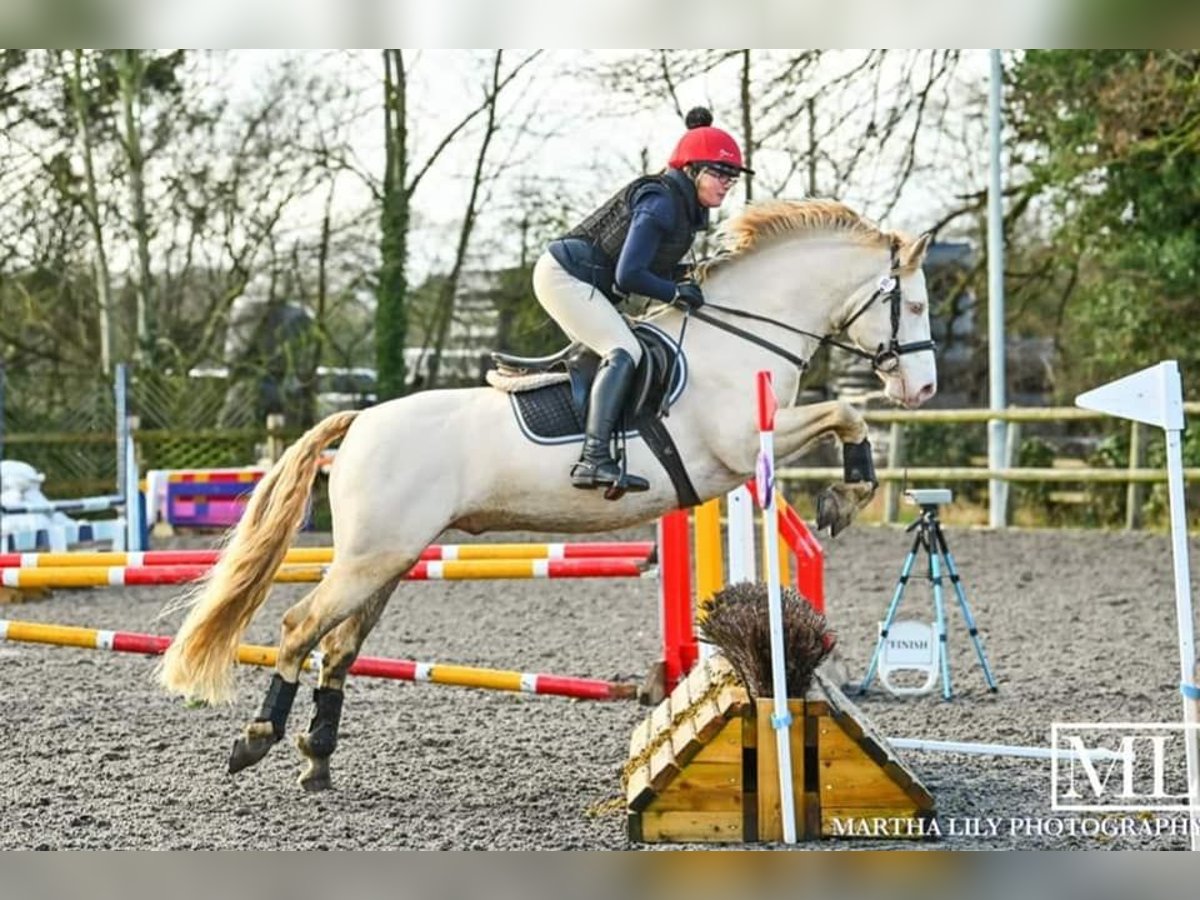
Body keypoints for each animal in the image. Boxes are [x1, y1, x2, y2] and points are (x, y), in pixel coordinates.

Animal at [154, 200, 936, 792]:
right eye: (920, 304)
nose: (923, 388)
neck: (741, 336)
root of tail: (363, 420)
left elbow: (847, 415)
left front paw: (846, 495)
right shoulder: (746, 446)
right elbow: (848, 412)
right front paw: (844, 499)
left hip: (390, 559)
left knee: (340, 647)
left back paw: (317, 758)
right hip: (369, 558)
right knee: (298, 629)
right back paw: (257, 739)